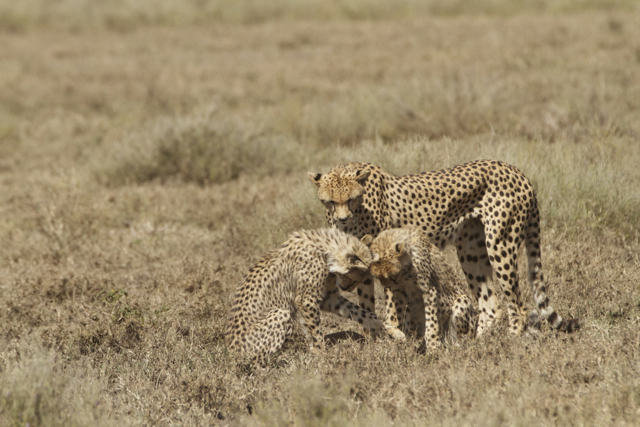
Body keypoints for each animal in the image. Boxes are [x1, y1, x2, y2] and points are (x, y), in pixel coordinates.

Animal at [225, 229, 384, 366]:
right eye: (352, 277)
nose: (347, 289)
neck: (325, 248)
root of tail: (231, 352)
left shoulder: (329, 299)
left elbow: (362, 313)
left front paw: (383, 328)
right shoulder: (307, 300)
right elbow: (315, 330)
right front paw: (322, 354)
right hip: (281, 313)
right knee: (256, 362)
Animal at [308, 160, 584, 338]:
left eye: (351, 199)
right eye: (330, 201)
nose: (343, 219)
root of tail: (516, 171)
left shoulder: (388, 261)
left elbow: (391, 304)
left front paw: (393, 336)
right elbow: (366, 305)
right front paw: (373, 341)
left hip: (500, 244)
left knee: (517, 304)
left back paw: (512, 340)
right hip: (471, 250)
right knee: (490, 304)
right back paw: (478, 343)